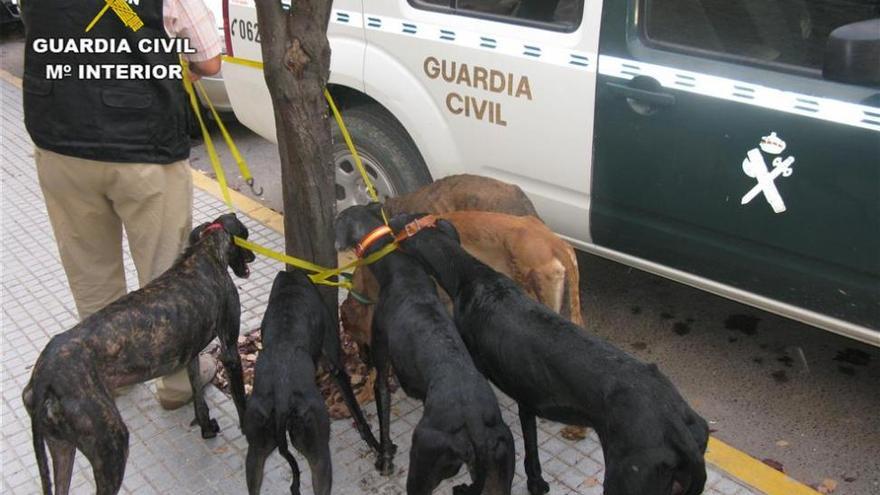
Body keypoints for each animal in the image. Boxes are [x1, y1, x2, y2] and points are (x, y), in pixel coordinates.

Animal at [22, 213, 254, 495]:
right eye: (246, 235)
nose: (253, 257)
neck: (204, 254)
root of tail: (44, 375)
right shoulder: (229, 349)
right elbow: (240, 399)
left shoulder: (191, 356)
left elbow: (198, 396)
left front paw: (206, 427)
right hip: (111, 444)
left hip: (61, 447)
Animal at [336, 203, 516, 494]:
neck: (401, 271)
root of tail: (475, 427)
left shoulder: (381, 352)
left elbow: (382, 401)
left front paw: (384, 458)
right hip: (500, 463)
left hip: (423, 457)